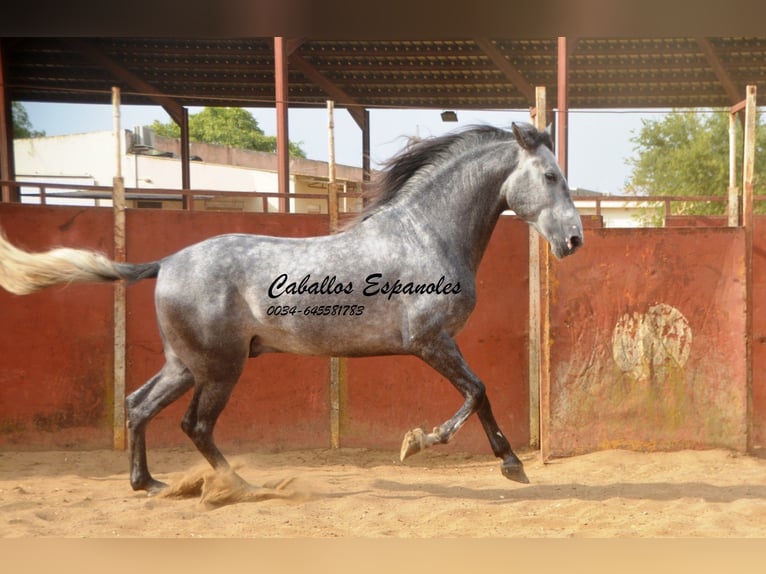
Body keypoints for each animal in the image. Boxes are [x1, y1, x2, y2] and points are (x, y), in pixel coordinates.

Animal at [0, 125, 584, 496]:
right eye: (551, 176)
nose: (575, 240)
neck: (425, 234)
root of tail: (165, 262)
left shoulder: (435, 345)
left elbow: (476, 393)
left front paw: (489, 458)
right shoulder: (429, 341)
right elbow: (478, 391)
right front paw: (443, 448)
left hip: (186, 363)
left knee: (139, 405)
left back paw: (148, 484)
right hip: (220, 367)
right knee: (195, 425)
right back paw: (244, 487)